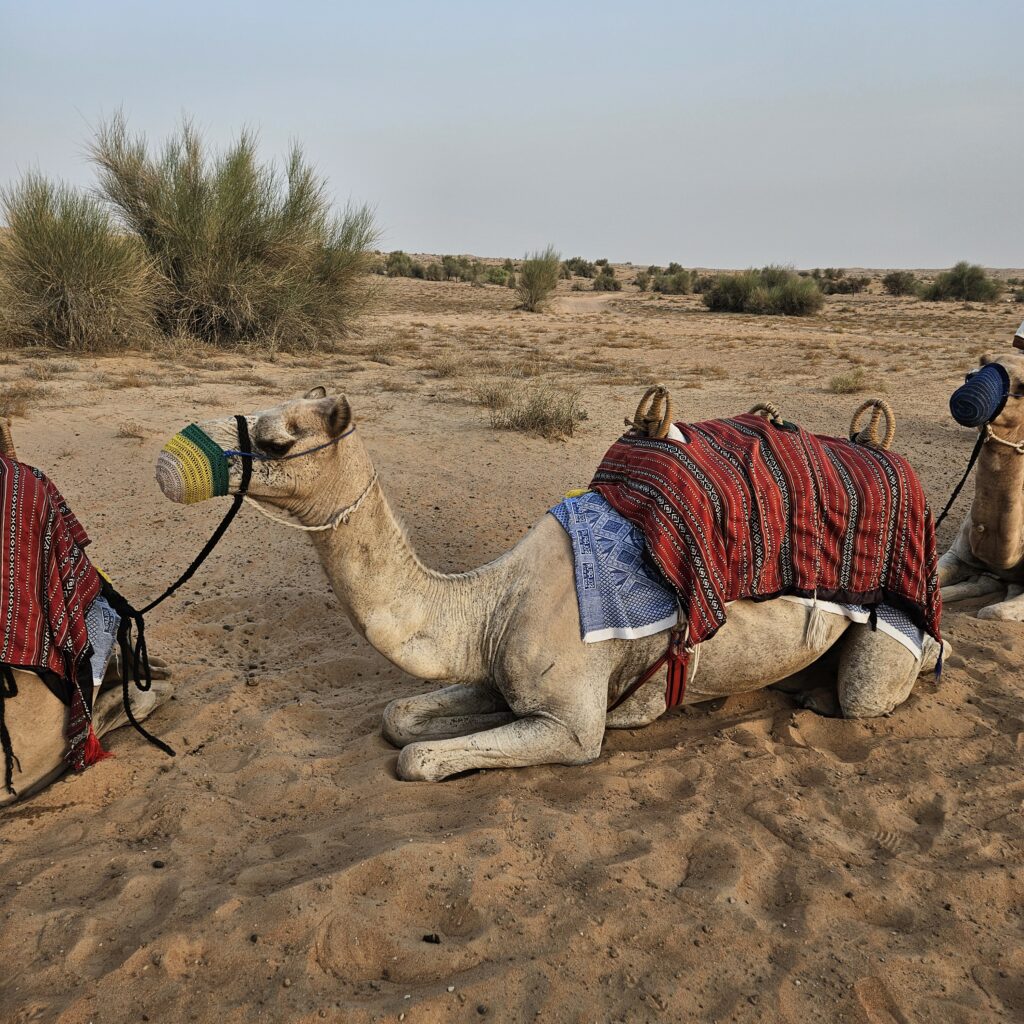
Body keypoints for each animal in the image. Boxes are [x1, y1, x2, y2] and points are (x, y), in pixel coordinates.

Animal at [153, 388, 944, 782]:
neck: (489, 601)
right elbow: (402, 718)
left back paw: (831, 694)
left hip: (896, 632)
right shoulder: (500, 672)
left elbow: (417, 758)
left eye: (276, 439)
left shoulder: (572, 724)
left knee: (879, 687)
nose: (169, 462)